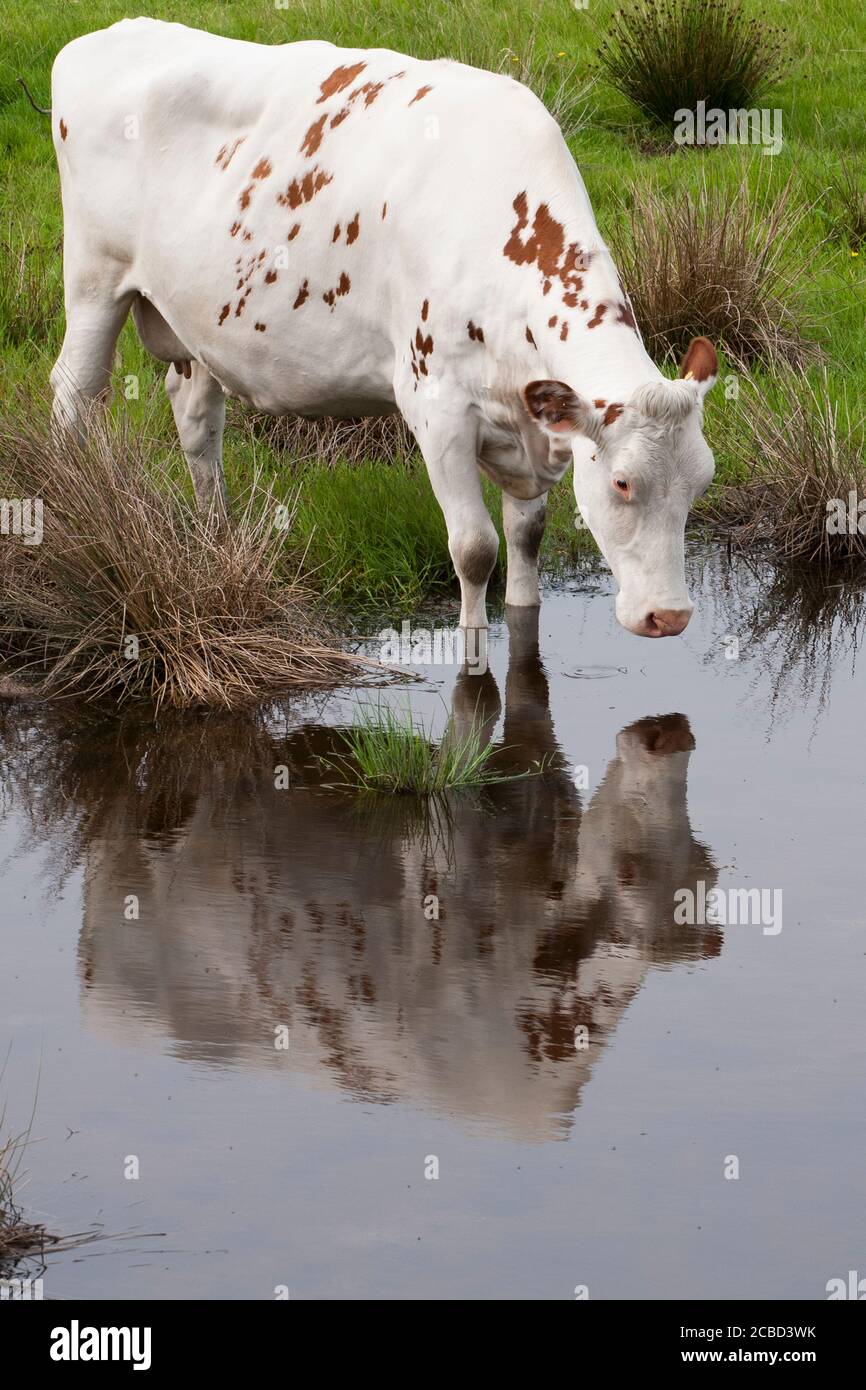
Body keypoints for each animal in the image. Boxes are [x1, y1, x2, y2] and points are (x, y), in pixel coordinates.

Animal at [50, 17, 722, 639]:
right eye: (622, 482)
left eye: (702, 481)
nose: (669, 615)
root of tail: (110, 33)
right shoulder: (436, 405)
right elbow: (475, 550)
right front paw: (472, 647)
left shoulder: (531, 421)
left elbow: (526, 535)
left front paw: (522, 616)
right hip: (93, 279)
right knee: (73, 396)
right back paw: (69, 513)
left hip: (196, 321)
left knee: (194, 414)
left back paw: (217, 534)